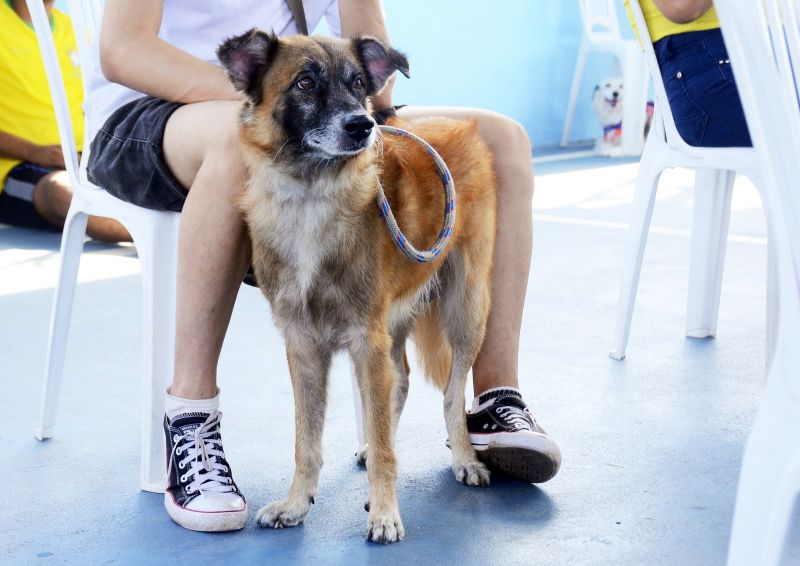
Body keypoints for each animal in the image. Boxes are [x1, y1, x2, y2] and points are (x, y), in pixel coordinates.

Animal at [217, 28, 494, 544]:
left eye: (358, 83)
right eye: (305, 83)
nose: (363, 125)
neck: (310, 196)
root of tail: (459, 123)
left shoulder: (366, 338)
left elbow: (387, 442)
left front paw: (385, 513)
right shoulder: (306, 347)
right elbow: (307, 441)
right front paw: (295, 504)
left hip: (466, 308)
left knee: (452, 393)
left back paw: (464, 457)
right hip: (396, 322)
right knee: (400, 380)